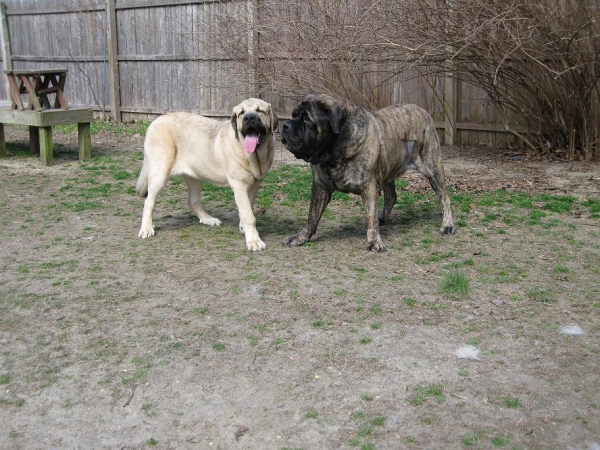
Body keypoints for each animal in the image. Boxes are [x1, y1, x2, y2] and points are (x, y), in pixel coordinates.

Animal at [282, 94, 454, 253]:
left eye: (306, 120)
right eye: (294, 115)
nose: (285, 125)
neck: (334, 152)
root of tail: (422, 110)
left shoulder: (369, 186)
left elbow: (370, 216)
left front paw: (373, 241)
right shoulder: (320, 186)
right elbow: (312, 216)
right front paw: (301, 237)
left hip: (433, 168)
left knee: (444, 197)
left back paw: (447, 225)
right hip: (388, 169)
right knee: (391, 196)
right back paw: (382, 217)